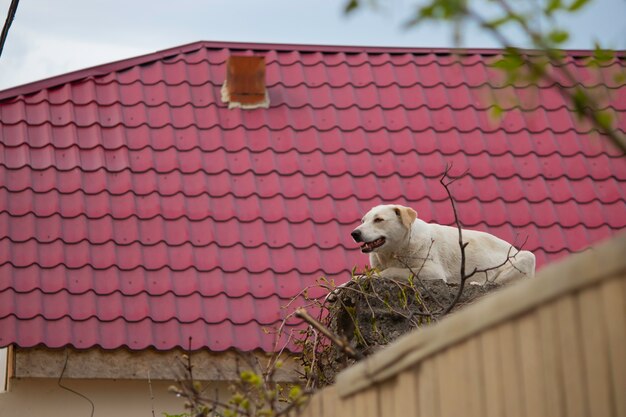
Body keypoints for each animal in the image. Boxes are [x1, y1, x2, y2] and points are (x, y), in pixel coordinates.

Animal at [348, 203, 532, 284]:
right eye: (363, 221)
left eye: (378, 220)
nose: (354, 234)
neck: (394, 252)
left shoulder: (432, 271)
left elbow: (391, 271)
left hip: (526, 257)